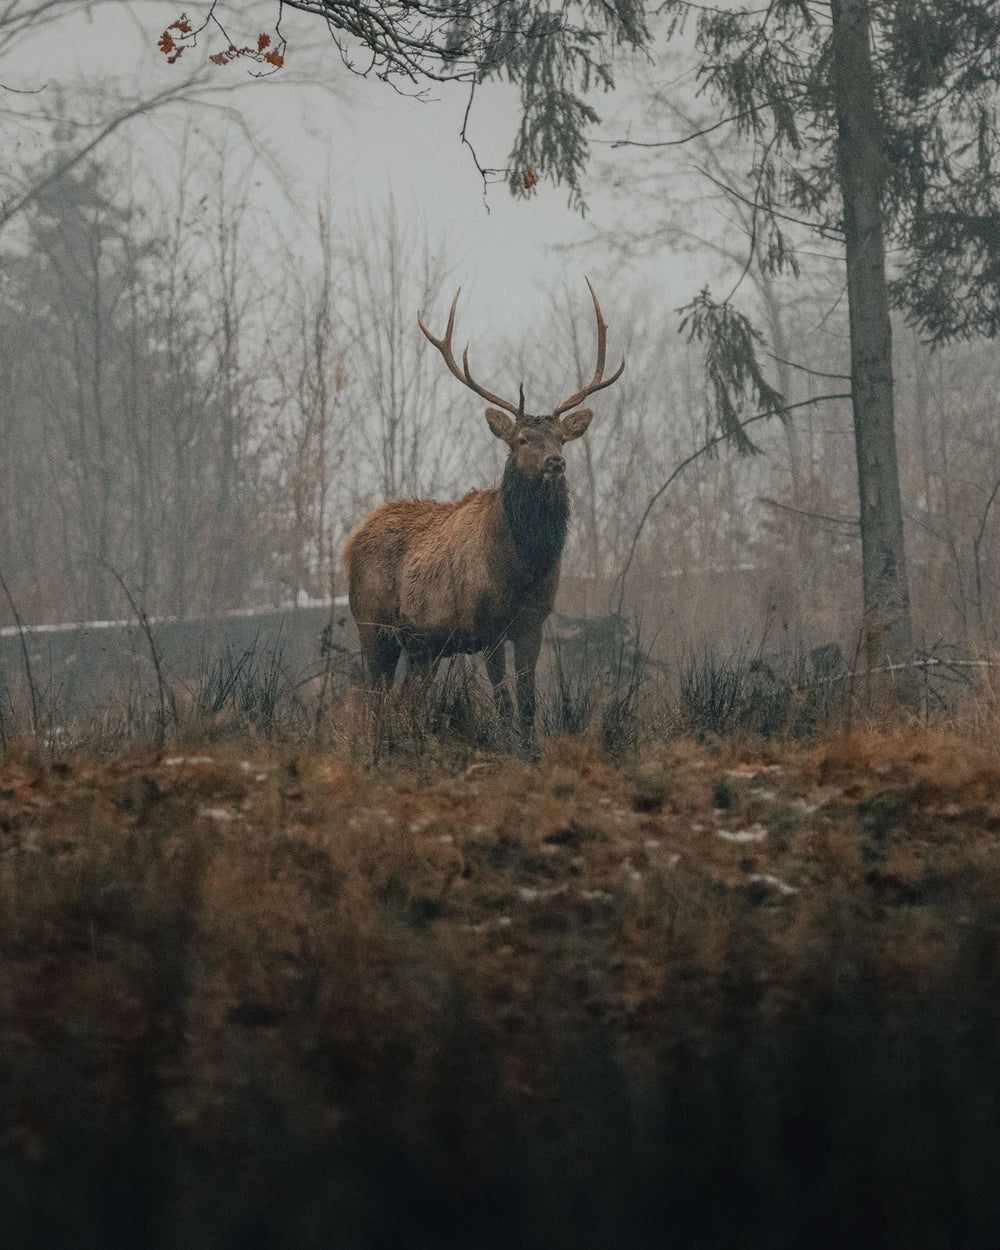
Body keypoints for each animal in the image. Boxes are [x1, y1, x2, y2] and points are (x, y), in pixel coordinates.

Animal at [342, 281, 624, 758]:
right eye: (523, 439)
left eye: (562, 438)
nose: (556, 463)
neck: (522, 568)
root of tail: (350, 542)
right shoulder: (488, 625)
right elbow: (503, 699)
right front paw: (512, 752)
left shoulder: (533, 621)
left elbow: (528, 699)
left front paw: (533, 755)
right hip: (372, 623)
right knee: (375, 696)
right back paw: (378, 750)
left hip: (424, 646)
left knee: (407, 700)